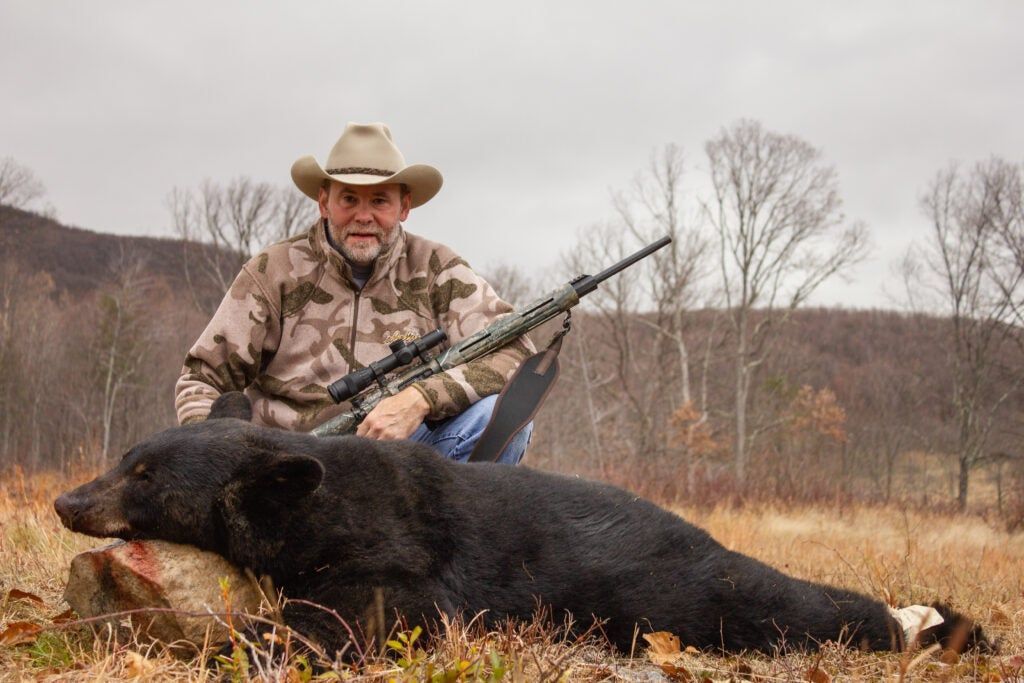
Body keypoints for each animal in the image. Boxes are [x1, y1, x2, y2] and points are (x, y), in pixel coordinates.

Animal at [54, 392, 988, 658]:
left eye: (145, 475)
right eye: (125, 457)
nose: (67, 500)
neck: (313, 497)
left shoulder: (398, 553)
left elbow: (366, 613)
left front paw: (253, 639)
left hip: (681, 585)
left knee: (777, 601)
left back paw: (930, 621)